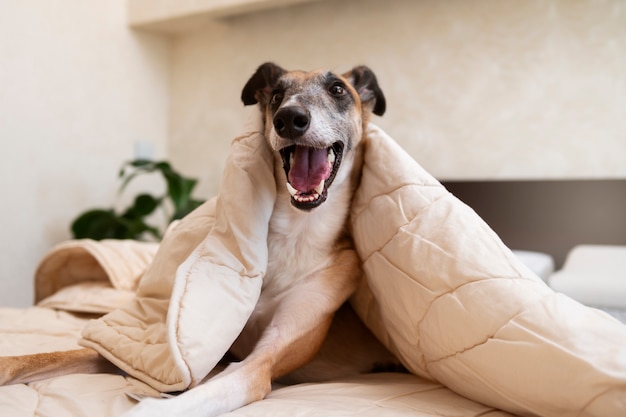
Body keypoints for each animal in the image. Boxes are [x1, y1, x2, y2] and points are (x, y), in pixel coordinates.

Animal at [0, 62, 398, 416]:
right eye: (277, 95)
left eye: (337, 89)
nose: (290, 118)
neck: (295, 235)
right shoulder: (192, 348)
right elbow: (53, 356)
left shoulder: (262, 360)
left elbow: (203, 393)